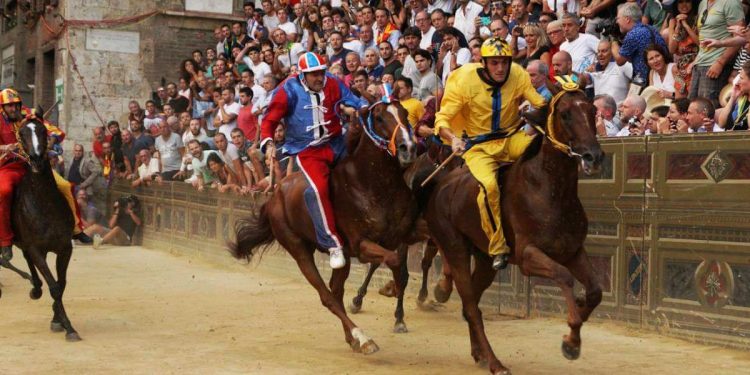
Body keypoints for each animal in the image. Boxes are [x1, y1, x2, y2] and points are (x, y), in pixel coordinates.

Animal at [231, 98, 418, 354]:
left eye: (406, 113)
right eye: (379, 118)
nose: (407, 147)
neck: (372, 184)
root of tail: (275, 194)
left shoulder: (398, 238)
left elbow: (400, 267)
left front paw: (397, 310)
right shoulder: (361, 245)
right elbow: (393, 261)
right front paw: (387, 291)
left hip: (341, 256)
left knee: (335, 290)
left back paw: (352, 338)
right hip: (299, 249)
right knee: (326, 295)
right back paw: (363, 338)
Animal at [426, 89, 608, 375]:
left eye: (593, 111)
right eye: (565, 114)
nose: (593, 156)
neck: (549, 191)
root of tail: (439, 187)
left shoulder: (573, 251)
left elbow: (595, 291)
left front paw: (575, 329)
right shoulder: (527, 255)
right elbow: (564, 276)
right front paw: (571, 341)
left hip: (485, 261)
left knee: (471, 303)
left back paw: (479, 353)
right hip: (455, 249)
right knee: (471, 305)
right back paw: (495, 363)